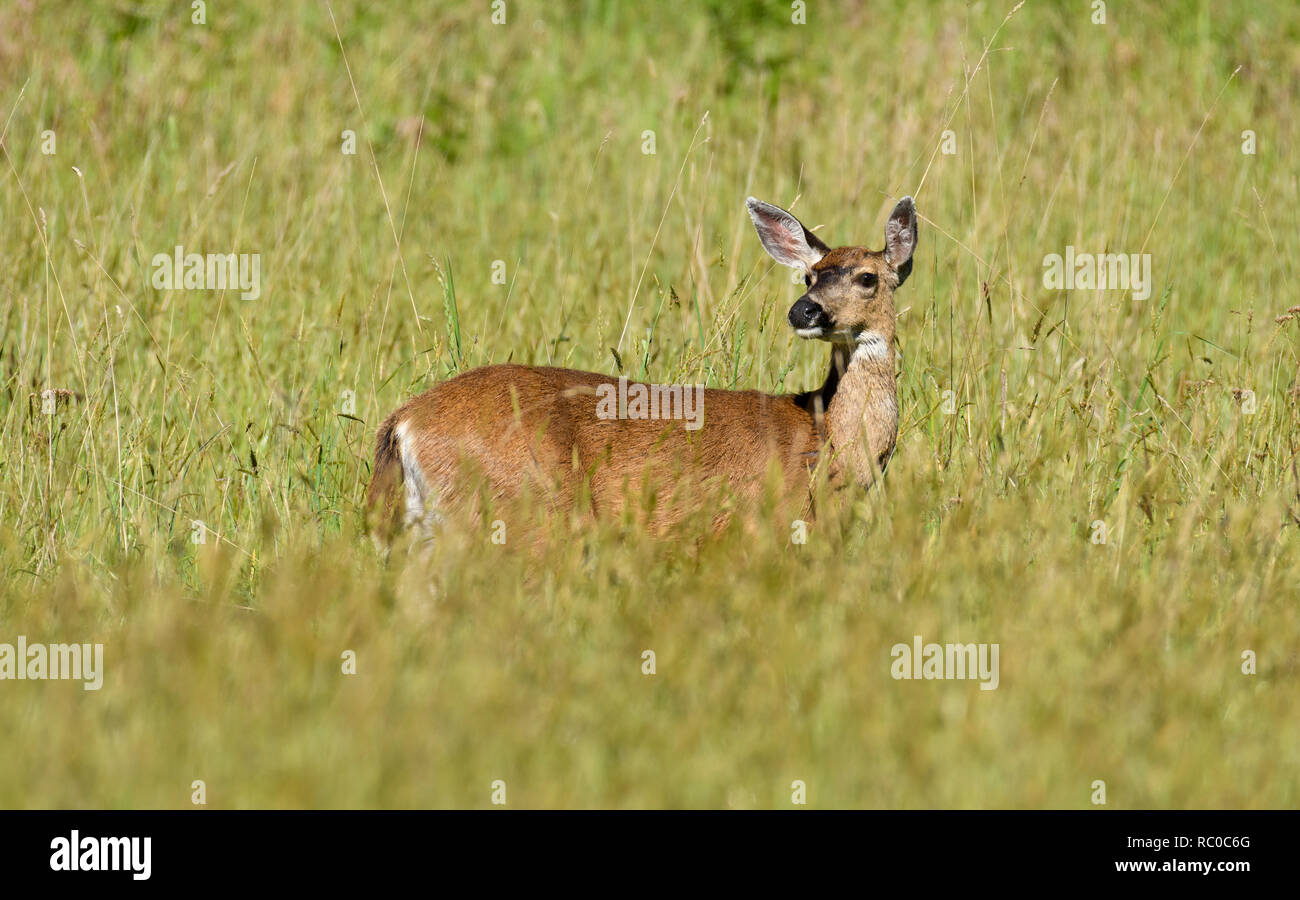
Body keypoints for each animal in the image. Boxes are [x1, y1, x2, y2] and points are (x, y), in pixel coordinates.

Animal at [366, 193, 915, 538]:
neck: (826, 439)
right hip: (518, 514)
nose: (804, 311)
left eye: (868, 277)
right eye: (808, 276)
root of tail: (402, 422)